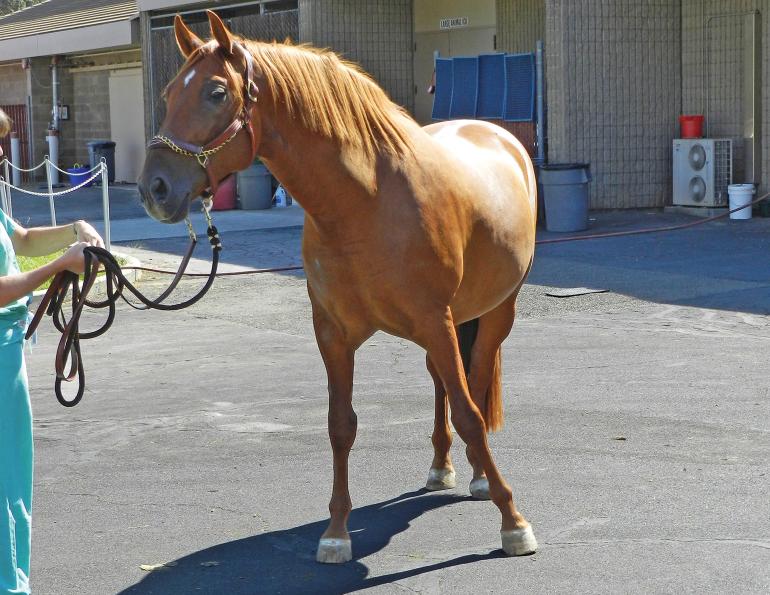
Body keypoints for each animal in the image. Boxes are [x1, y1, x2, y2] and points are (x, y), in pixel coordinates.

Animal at [138, 11, 538, 564]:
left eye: (216, 92)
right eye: (169, 92)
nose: (154, 188)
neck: (367, 201)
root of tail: (501, 136)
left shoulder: (435, 321)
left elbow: (472, 415)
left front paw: (513, 521)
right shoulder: (334, 333)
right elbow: (340, 425)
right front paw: (336, 532)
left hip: (496, 311)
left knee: (473, 381)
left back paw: (480, 477)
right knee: (441, 382)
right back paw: (441, 467)